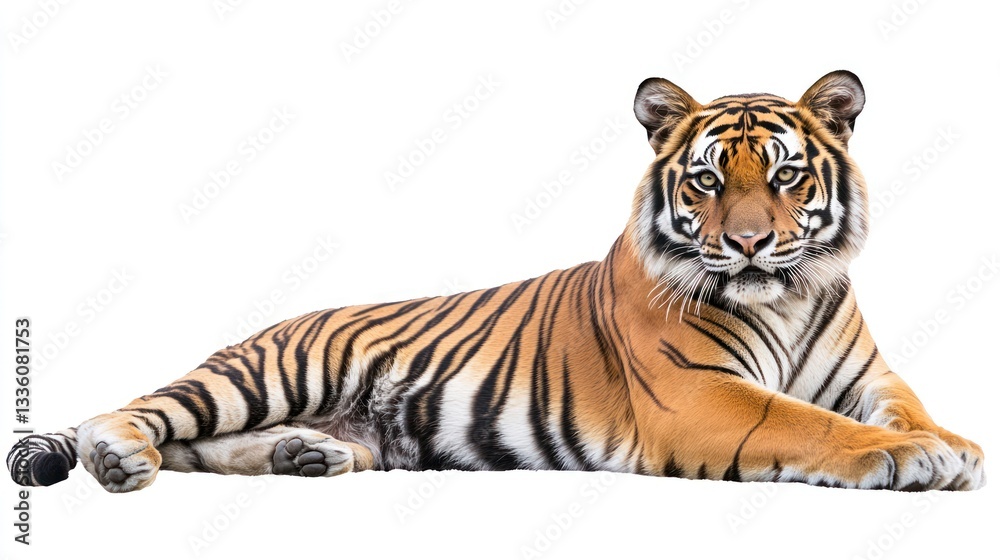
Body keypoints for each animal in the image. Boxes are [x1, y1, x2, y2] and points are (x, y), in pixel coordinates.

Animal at [7, 71, 985, 493]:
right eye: (708, 181)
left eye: (785, 177)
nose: (748, 245)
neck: (783, 294)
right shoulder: (702, 396)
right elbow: (808, 425)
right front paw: (911, 458)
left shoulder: (868, 376)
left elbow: (901, 408)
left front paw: (952, 445)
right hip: (267, 372)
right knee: (138, 415)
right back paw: (119, 458)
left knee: (204, 446)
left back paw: (305, 456)